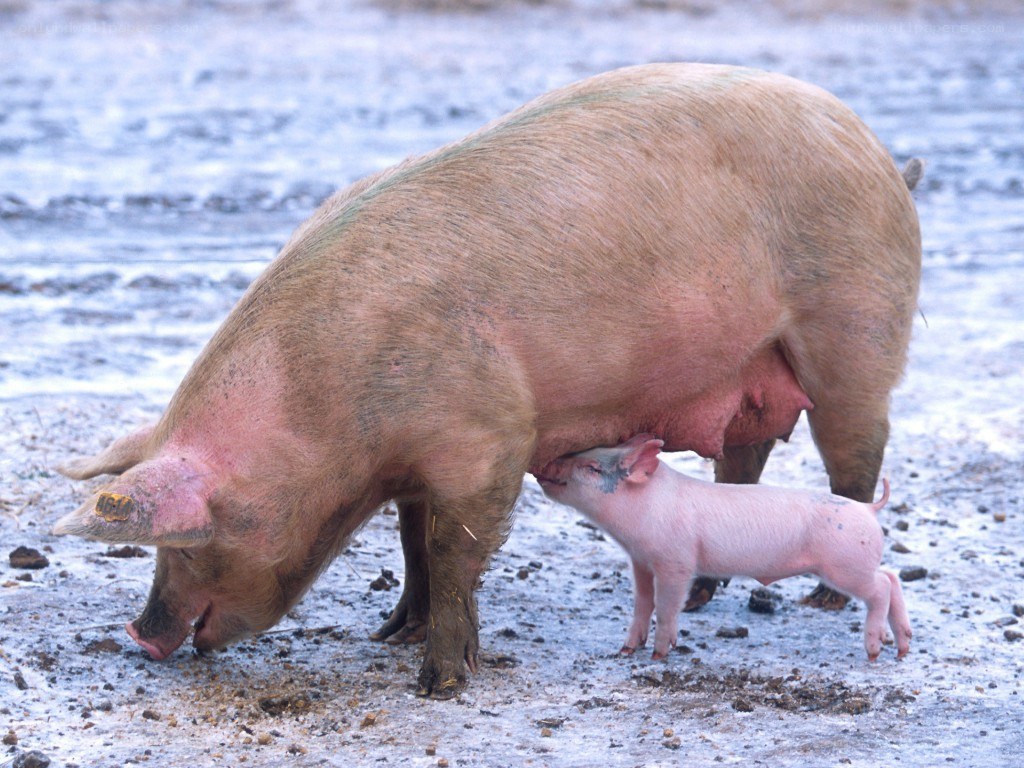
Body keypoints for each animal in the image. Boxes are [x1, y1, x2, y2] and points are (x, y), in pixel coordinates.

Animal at [535, 435, 912, 661]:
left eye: (592, 468)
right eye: (583, 453)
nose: (545, 465)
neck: (645, 508)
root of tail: (869, 509)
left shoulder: (676, 561)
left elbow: (667, 606)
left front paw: (659, 655)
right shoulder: (640, 561)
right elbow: (642, 603)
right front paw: (626, 650)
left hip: (845, 565)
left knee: (881, 587)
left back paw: (875, 650)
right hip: (857, 563)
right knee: (892, 577)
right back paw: (901, 647)